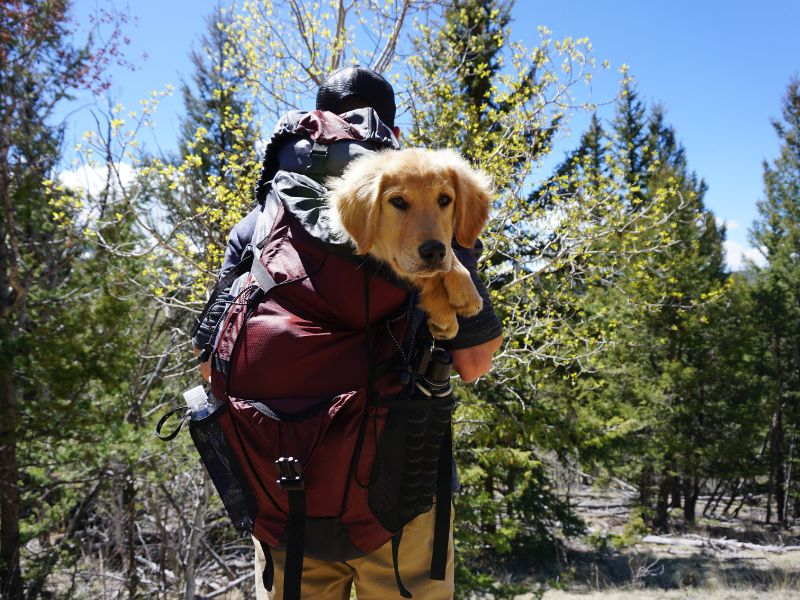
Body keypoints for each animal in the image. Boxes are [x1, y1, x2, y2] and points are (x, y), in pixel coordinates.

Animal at [326, 148, 490, 340]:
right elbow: (418, 274)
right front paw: (443, 312)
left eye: (444, 199)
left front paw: (464, 287)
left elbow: (448, 254)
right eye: (397, 201)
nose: (434, 252)